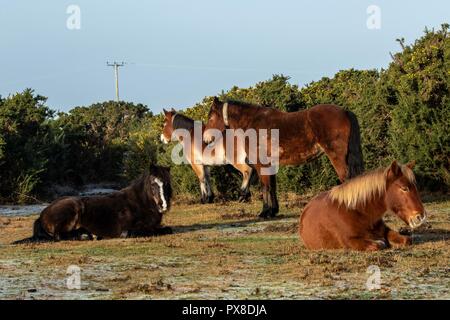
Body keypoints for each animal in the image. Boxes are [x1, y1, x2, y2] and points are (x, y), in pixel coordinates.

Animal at [13, 165, 172, 242]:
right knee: (59, 235)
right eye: (153, 184)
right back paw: (86, 236)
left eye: (166, 184)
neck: (139, 203)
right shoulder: (128, 230)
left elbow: (166, 229)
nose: (163, 206)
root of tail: (42, 214)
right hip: (72, 209)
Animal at [202, 97, 364, 218]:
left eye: (211, 117)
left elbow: (265, 187)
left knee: (346, 178)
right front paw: (273, 211)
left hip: (337, 157)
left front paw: (265, 212)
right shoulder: (270, 165)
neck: (253, 123)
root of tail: (344, 111)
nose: (205, 139)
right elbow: (272, 187)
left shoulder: (262, 165)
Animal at [300, 161, 428, 251]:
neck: (359, 212)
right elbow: (379, 244)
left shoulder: (385, 231)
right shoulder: (350, 241)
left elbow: (406, 240)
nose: (420, 216)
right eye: (404, 188)